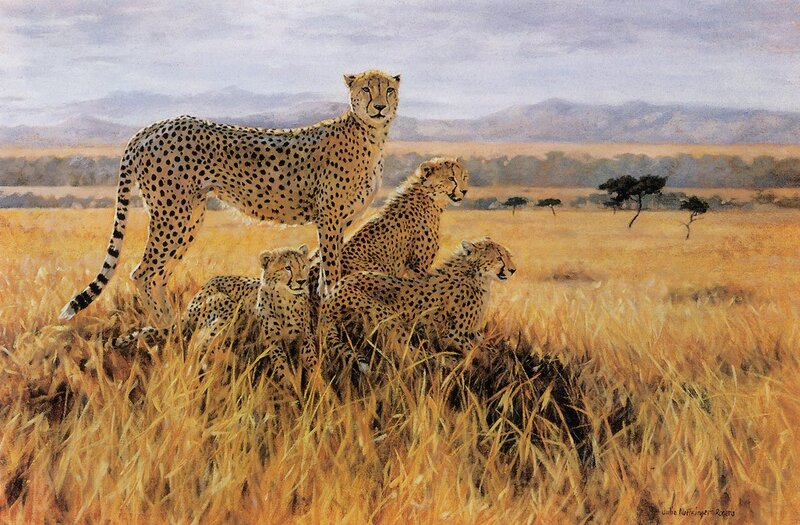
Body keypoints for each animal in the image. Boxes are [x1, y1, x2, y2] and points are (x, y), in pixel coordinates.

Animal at [60, 69, 400, 326]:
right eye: (366, 88)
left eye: (389, 90)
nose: (379, 107)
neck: (371, 135)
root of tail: (153, 127)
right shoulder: (329, 219)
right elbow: (330, 274)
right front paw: (330, 310)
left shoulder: (337, 223)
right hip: (174, 214)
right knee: (143, 272)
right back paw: (167, 328)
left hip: (189, 216)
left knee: (159, 273)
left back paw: (176, 325)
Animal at [112, 245, 316, 386]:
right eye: (287, 268)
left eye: (303, 266)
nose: (301, 281)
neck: (287, 301)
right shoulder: (272, 342)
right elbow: (281, 366)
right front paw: (291, 389)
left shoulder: (306, 338)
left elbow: (313, 362)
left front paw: (318, 388)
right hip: (227, 305)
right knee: (197, 343)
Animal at [320, 238, 516, 373]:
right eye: (499, 258)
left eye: (508, 256)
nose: (513, 270)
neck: (476, 276)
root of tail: (330, 295)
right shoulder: (452, 332)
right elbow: (476, 352)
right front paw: (486, 364)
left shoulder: (473, 331)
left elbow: (489, 347)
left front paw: (505, 358)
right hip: (386, 316)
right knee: (407, 353)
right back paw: (449, 362)